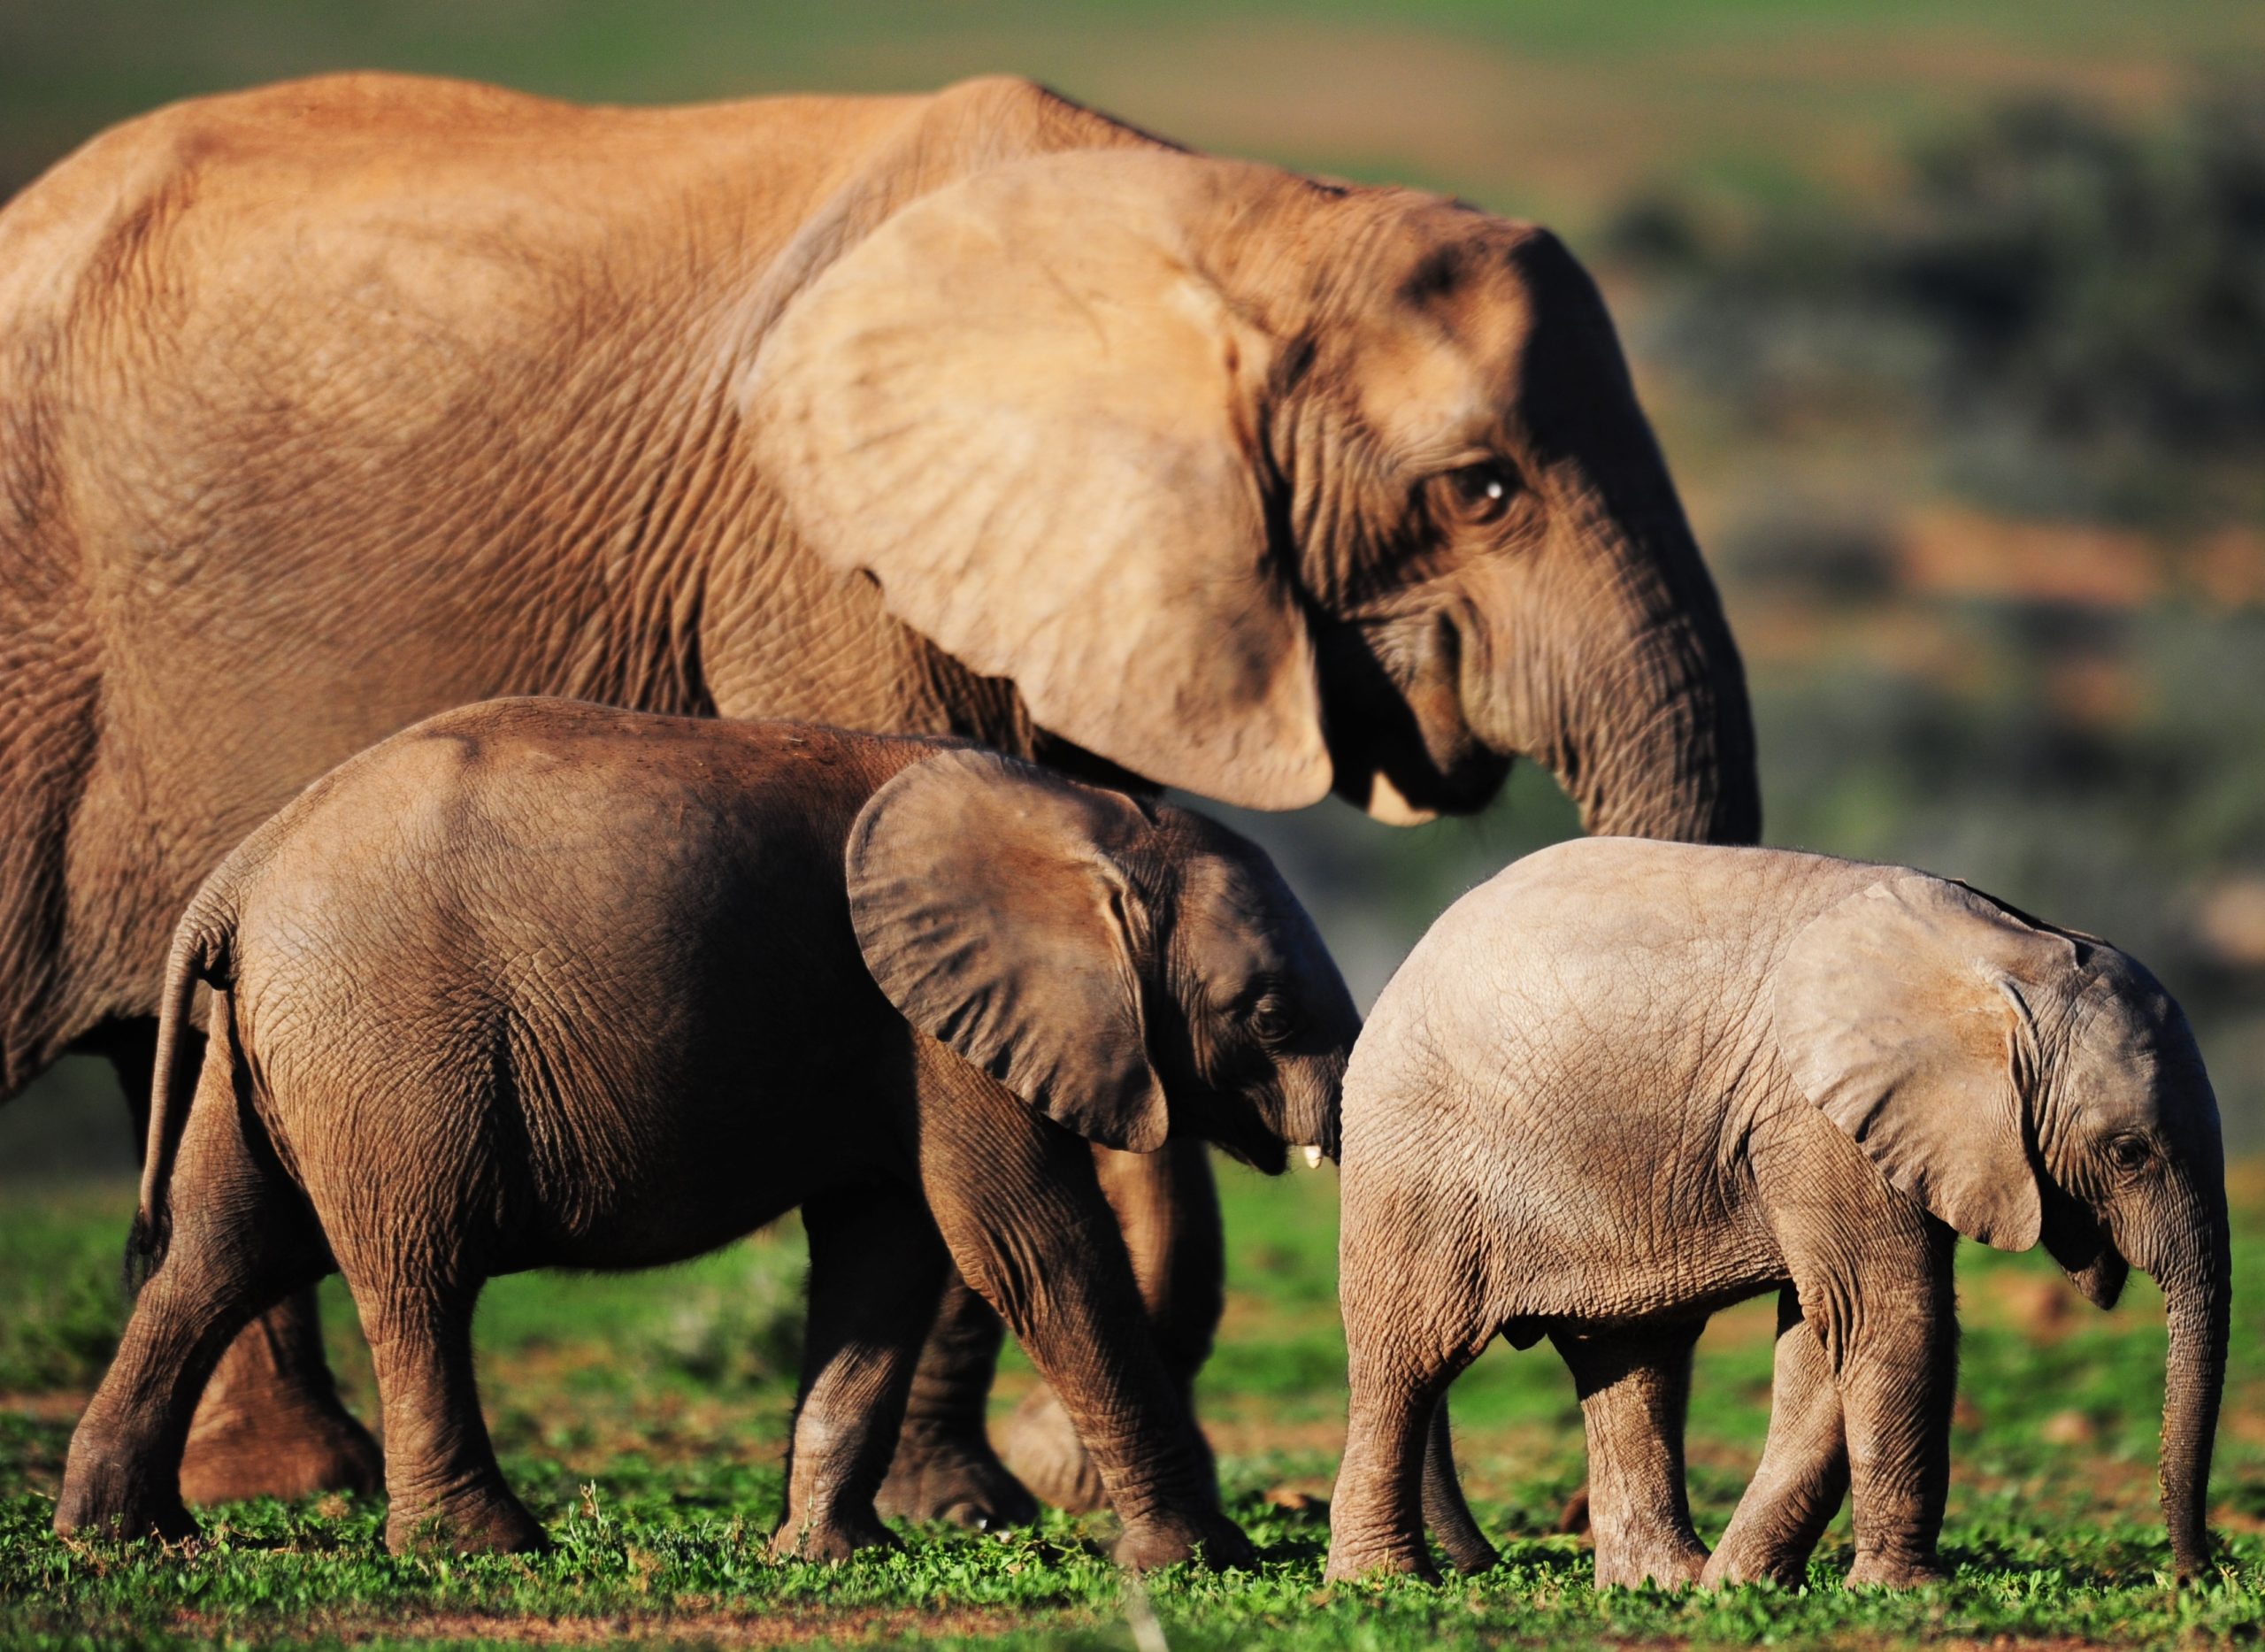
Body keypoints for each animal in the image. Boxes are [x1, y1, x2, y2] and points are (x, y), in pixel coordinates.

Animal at [54, 700, 1360, 1566]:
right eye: (1268, 1014)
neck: (1086, 818)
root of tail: (236, 877)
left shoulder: (900, 1035)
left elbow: (887, 1259)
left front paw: (831, 1558)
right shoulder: (939, 1028)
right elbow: (1031, 1248)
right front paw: (1206, 1561)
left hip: (261, 1045)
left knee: (217, 1251)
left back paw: (128, 1536)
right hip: (386, 1042)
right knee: (415, 1269)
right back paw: (483, 1548)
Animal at [1324, 839, 2228, 1589]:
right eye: (2129, 1152)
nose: (2193, 1575)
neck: (2009, 952)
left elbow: (1829, 1337)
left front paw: (1741, 1586)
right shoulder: (1816, 1116)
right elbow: (1891, 1316)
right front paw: (1903, 1594)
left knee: (1632, 1356)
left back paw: (1662, 1583)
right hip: (1415, 1158)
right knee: (1408, 1358)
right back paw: (1386, 1583)